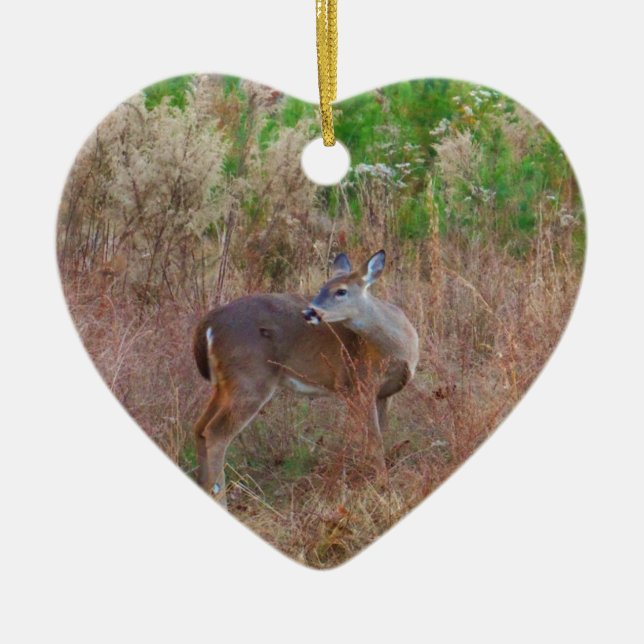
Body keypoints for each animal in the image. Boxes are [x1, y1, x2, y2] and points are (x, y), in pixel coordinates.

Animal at [192, 249, 419, 507]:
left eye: (340, 291)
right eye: (322, 287)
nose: (310, 311)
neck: (399, 348)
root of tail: (208, 323)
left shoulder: (382, 393)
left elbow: (377, 436)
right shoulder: (359, 383)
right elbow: (374, 441)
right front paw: (384, 488)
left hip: (224, 384)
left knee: (199, 427)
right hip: (250, 379)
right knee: (215, 433)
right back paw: (220, 498)